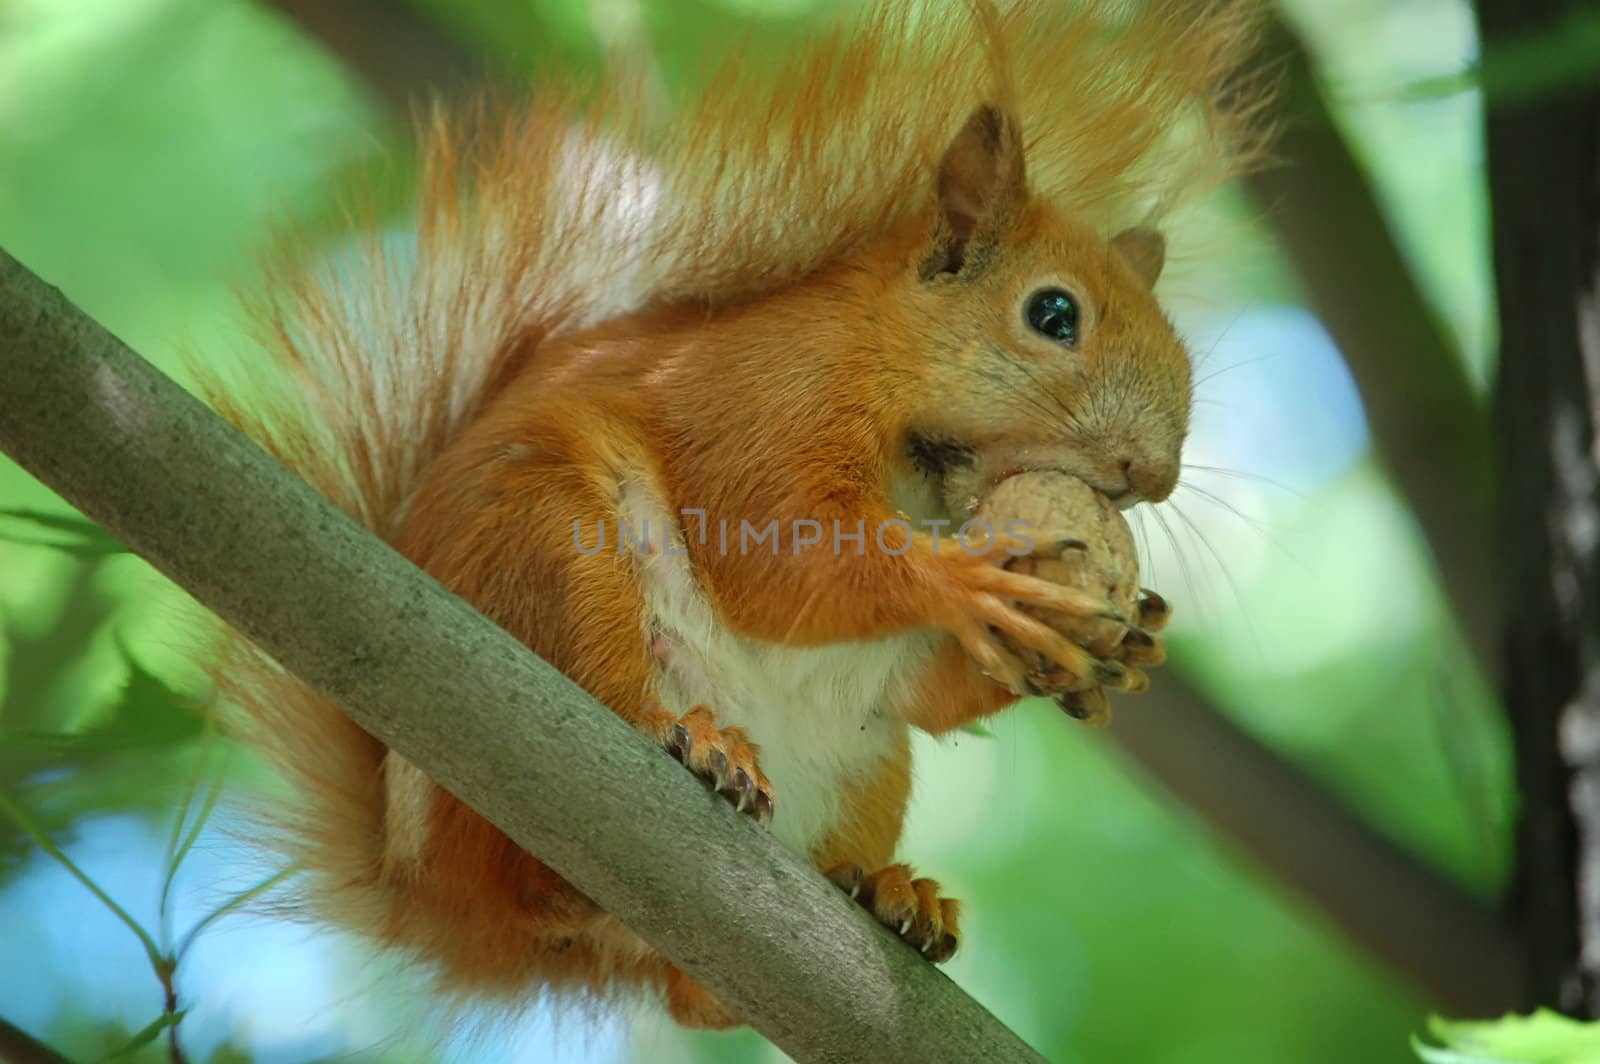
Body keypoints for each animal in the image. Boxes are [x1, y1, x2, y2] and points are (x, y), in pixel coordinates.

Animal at [203, 0, 1273, 1030]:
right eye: (1053, 315)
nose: (1154, 475)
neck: (922, 463)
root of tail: (434, 903)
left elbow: (927, 688)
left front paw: (1129, 636)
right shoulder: (768, 400)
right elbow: (778, 557)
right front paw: (968, 580)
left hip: (864, 771)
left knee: (695, 992)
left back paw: (887, 894)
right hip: (555, 566)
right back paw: (691, 750)